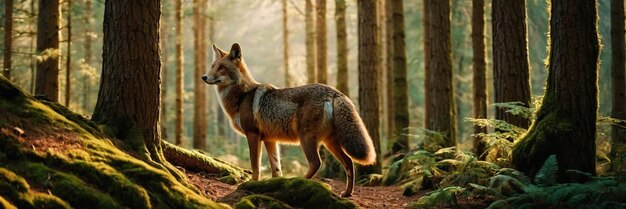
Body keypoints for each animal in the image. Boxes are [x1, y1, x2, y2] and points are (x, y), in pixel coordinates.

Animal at [202, 43, 372, 197]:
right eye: (213, 66)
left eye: (221, 68)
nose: (204, 77)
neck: (242, 96)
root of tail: (335, 92)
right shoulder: (269, 140)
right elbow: (276, 168)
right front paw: (275, 183)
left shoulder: (253, 135)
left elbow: (255, 164)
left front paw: (252, 182)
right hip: (329, 143)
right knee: (349, 163)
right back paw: (347, 193)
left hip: (307, 139)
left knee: (316, 163)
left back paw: (298, 181)